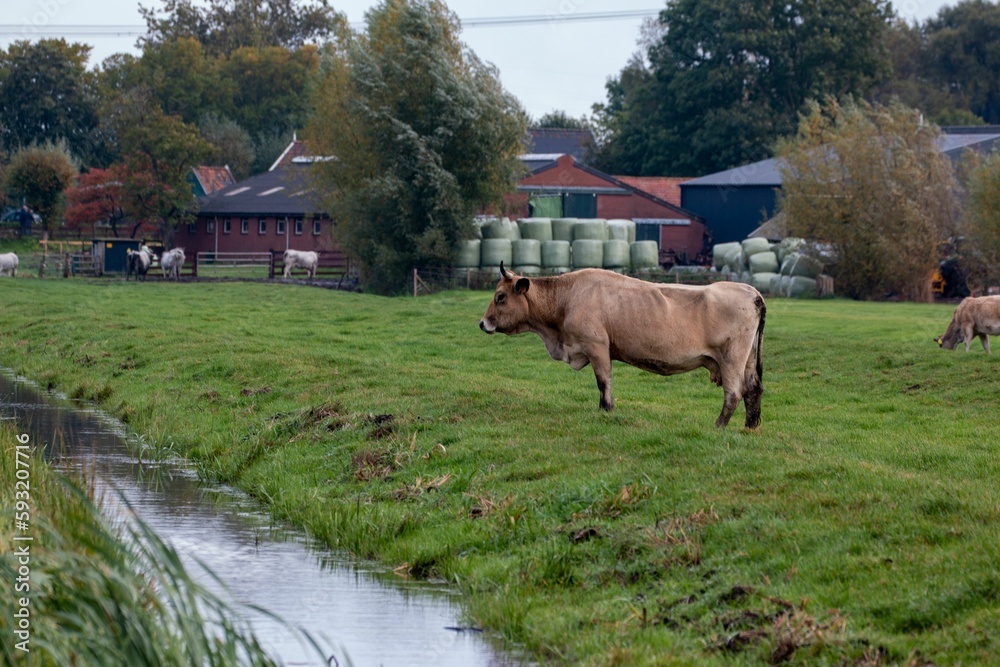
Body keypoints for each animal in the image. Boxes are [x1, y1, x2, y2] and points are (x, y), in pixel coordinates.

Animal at [476, 260, 764, 428]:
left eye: (500, 297)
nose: (482, 323)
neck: (567, 297)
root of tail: (752, 293)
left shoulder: (596, 346)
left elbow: (604, 381)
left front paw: (606, 410)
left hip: (731, 359)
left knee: (734, 393)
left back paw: (719, 425)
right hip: (748, 359)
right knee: (753, 390)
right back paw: (750, 426)